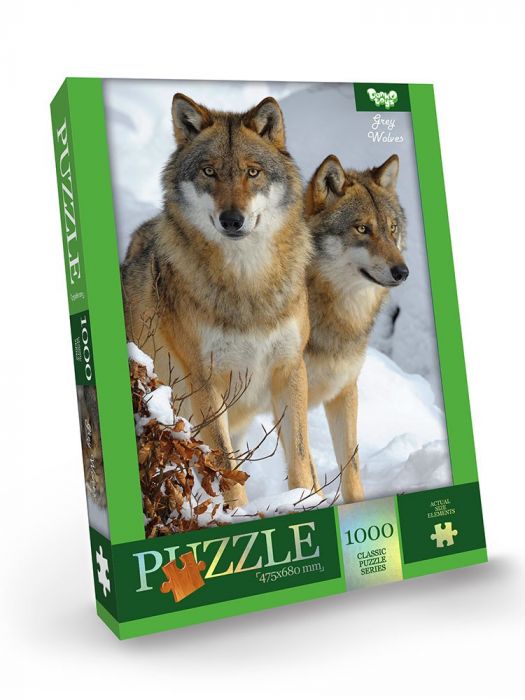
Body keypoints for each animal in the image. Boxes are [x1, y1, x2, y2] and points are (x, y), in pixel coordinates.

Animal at [121, 93, 318, 507]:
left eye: (252, 172)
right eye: (209, 172)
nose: (232, 219)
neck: (248, 284)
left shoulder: (290, 369)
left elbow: (300, 457)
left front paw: (308, 502)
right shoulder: (205, 381)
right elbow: (225, 467)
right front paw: (239, 515)